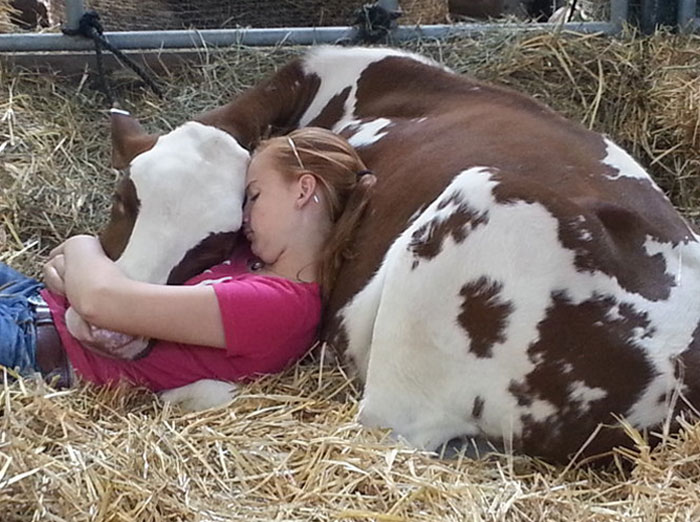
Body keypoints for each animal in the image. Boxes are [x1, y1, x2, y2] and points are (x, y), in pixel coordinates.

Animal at [103, 45, 700, 463]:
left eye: (220, 239)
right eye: (124, 199)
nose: (110, 333)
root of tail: (676, 378)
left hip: (476, 208)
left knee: (381, 423)